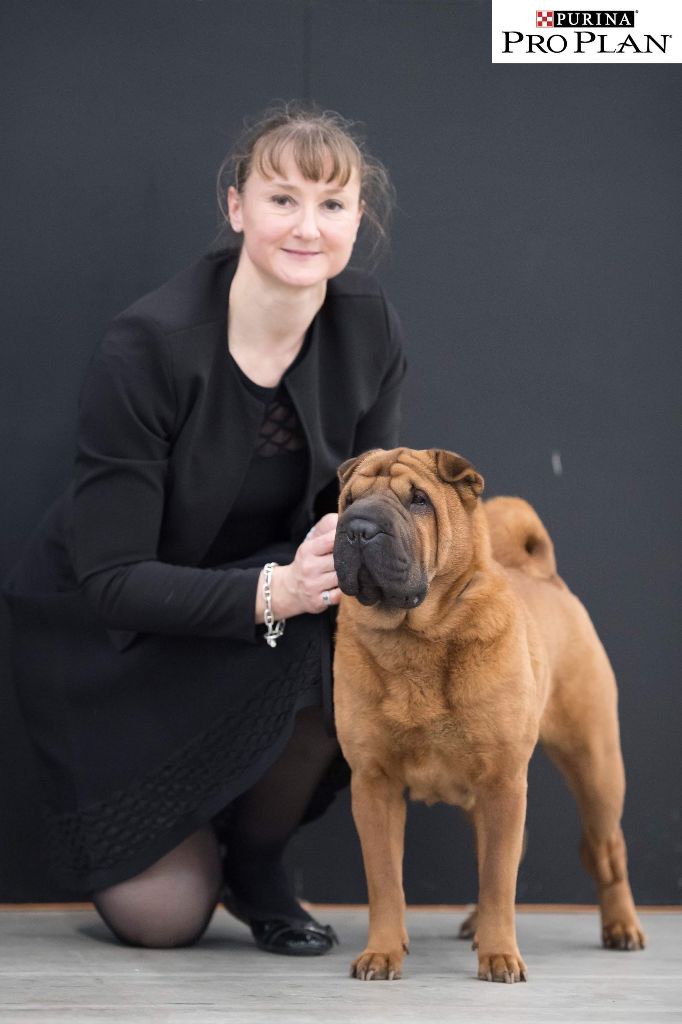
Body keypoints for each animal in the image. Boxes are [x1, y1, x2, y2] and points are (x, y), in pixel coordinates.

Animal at [332, 447, 644, 983]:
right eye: (349, 500)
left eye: (418, 500)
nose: (359, 528)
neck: (416, 639)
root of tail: (544, 575)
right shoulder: (374, 783)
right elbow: (385, 880)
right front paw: (382, 953)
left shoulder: (502, 779)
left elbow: (500, 877)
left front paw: (500, 956)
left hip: (596, 766)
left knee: (607, 852)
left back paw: (622, 927)